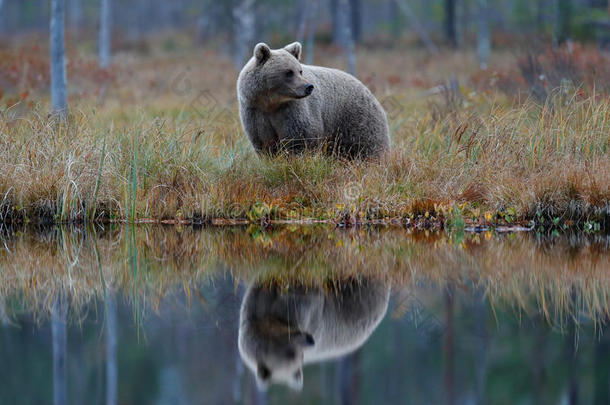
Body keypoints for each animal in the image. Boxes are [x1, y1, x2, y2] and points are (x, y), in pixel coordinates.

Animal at [235, 41, 388, 159]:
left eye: (300, 70)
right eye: (288, 72)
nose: (308, 87)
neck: (271, 102)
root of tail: (368, 91)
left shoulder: (293, 111)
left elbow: (301, 139)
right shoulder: (255, 112)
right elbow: (265, 143)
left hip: (355, 120)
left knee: (367, 146)